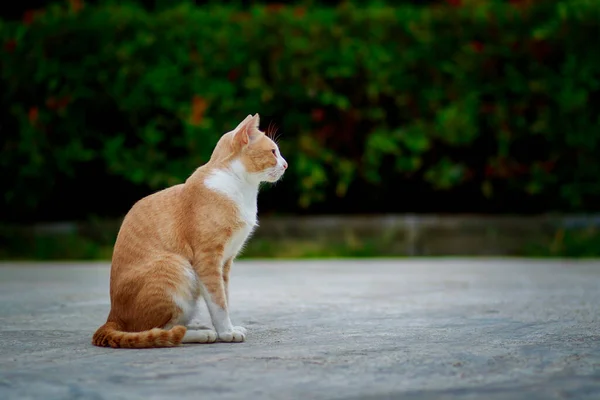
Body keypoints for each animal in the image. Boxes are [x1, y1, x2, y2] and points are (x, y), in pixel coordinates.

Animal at [92, 114, 288, 348]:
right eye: (273, 152)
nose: (285, 165)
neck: (240, 188)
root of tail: (112, 317)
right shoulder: (207, 259)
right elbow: (218, 301)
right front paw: (226, 332)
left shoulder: (224, 262)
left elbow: (224, 297)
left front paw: (228, 328)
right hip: (177, 266)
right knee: (160, 330)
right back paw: (201, 334)